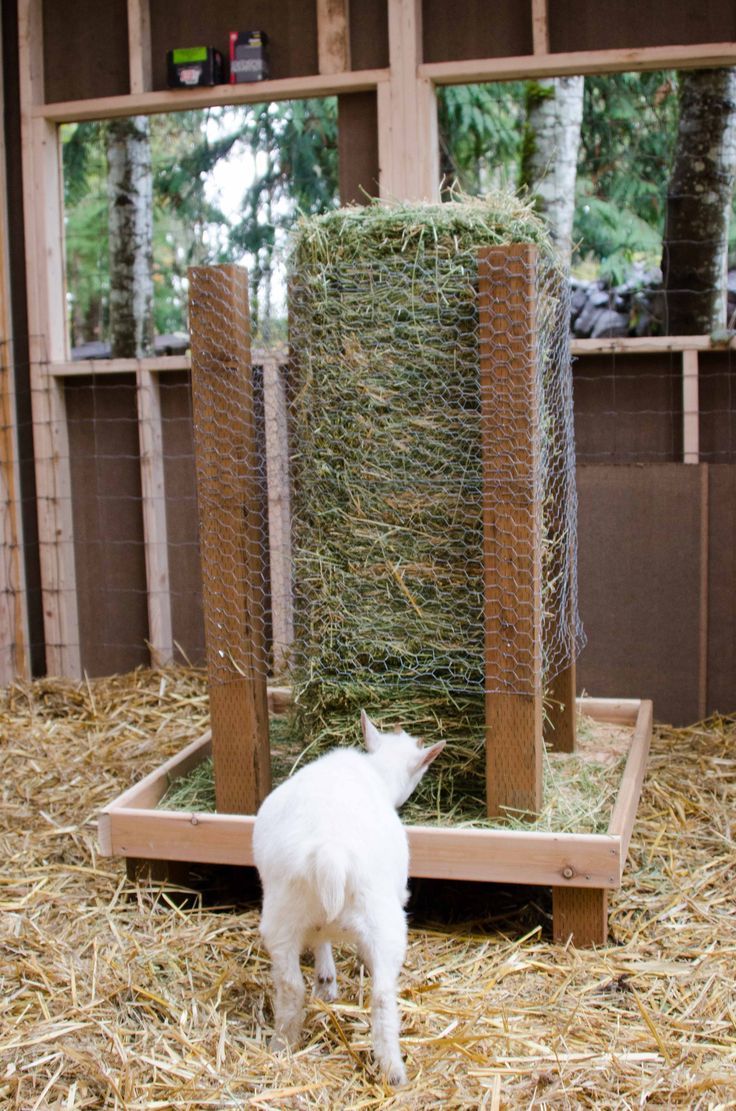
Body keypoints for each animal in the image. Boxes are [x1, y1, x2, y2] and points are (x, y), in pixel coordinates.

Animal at [253, 711, 446, 1084]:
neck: (377, 771)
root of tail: (331, 854)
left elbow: (320, 940)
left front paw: (326, 981)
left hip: (282, 916)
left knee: (290, 986)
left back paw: (282, 1046)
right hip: (383, 919)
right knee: (382, 996)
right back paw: (393, 1071)